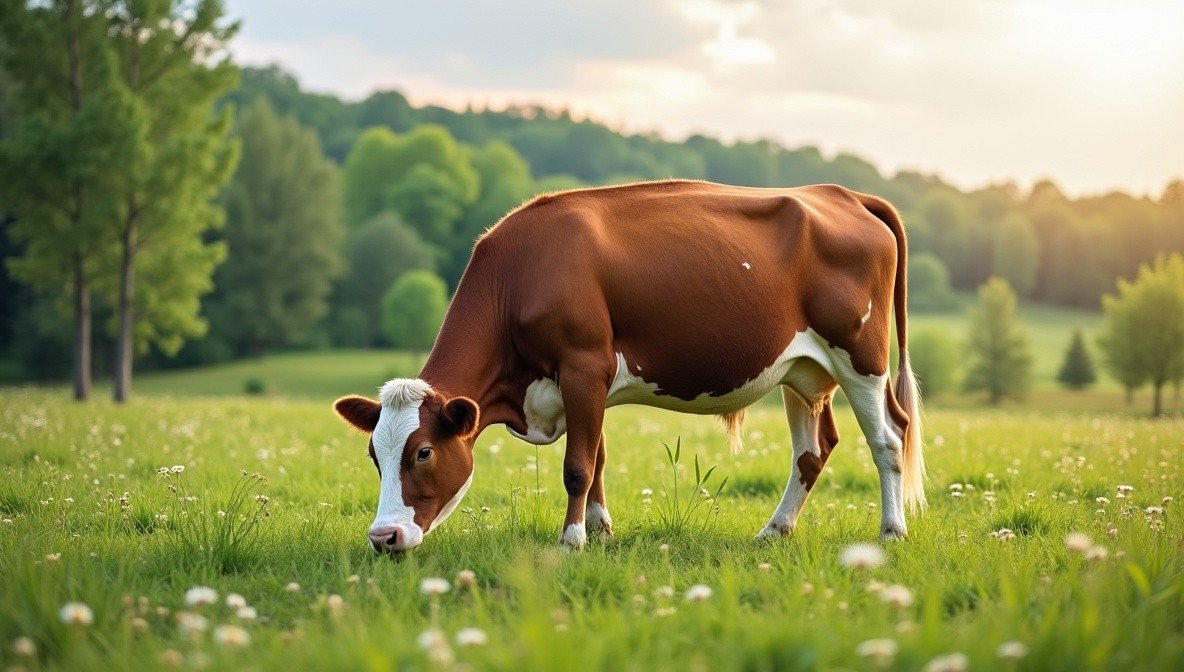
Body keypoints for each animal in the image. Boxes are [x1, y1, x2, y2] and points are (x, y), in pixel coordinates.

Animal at [333, 180, 926, 552]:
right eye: (373, 454)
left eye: (423, 452)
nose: (384, 538)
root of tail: (843, 193)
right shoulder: (584, 385)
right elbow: (595, 459)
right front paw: (600, 532)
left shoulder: (582, 366)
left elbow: (577, 465)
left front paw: (572, 540)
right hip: (802, 370)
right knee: (813, 449)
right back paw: (774, 531)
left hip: (860, 355)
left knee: (889, 437)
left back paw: (892, 531)